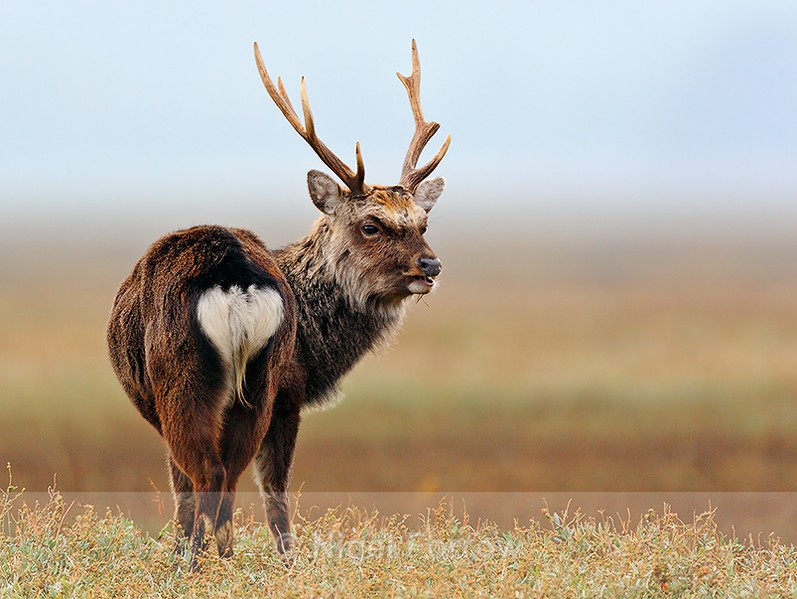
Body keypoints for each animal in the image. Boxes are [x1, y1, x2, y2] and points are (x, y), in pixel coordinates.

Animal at [106, 39, 450, 571]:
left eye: (422, 222)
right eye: (371, 224)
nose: (430, 265)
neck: (317, 346)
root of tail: (235, 280)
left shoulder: (285, 396)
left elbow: (227, 491)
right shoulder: (287, 392)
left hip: (186, 379)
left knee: (213, 475)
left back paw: (202, 565)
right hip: (252, 384)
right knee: (226, 475)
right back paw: (223, 560)